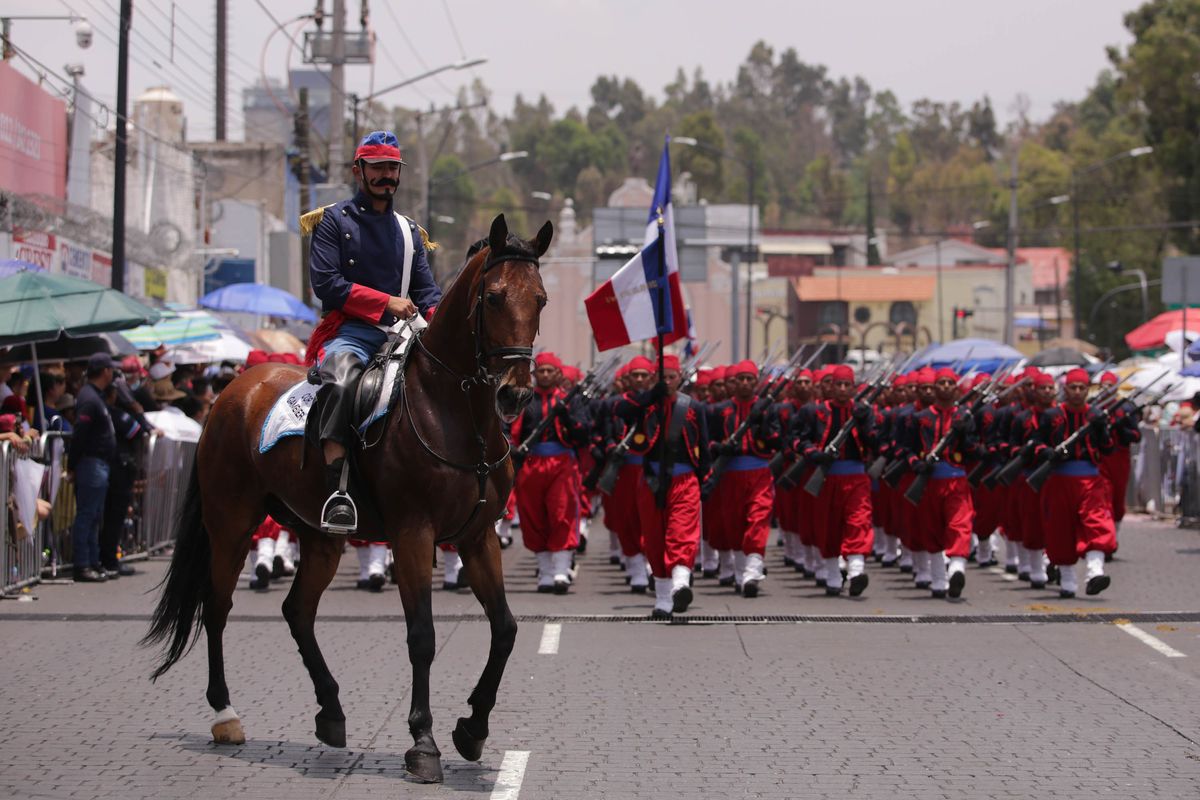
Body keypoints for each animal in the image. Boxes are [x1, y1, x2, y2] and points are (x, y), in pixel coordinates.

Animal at [144, 212, 552, 782]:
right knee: (218, 606)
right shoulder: (412, 534)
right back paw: (226, 713)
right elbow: (422, 636)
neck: (454, 413)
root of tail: (235, 389)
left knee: (297, 610)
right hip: (230, 525)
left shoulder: (476, 537)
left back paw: (331, 711)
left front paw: (472, 728)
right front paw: (423, 741)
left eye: (540, 299)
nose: (514, 394)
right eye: (493, 297)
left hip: (319, 538)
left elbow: (506, 629)